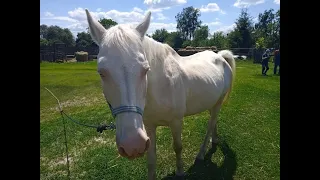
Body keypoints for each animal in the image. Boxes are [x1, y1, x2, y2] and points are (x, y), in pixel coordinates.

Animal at [85, 9, 235, 179]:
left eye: (145, 69)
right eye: (101, 73)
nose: (132, 144)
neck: (161, 87)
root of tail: (220, 56)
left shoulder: (176, 122)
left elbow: (178, 147)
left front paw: (180, 172)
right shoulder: (149, 126)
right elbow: (151, 159)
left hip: (218, 102)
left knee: (210, 124)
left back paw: (201, 153)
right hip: (212, 102)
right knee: (214, 121)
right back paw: (214, 140)